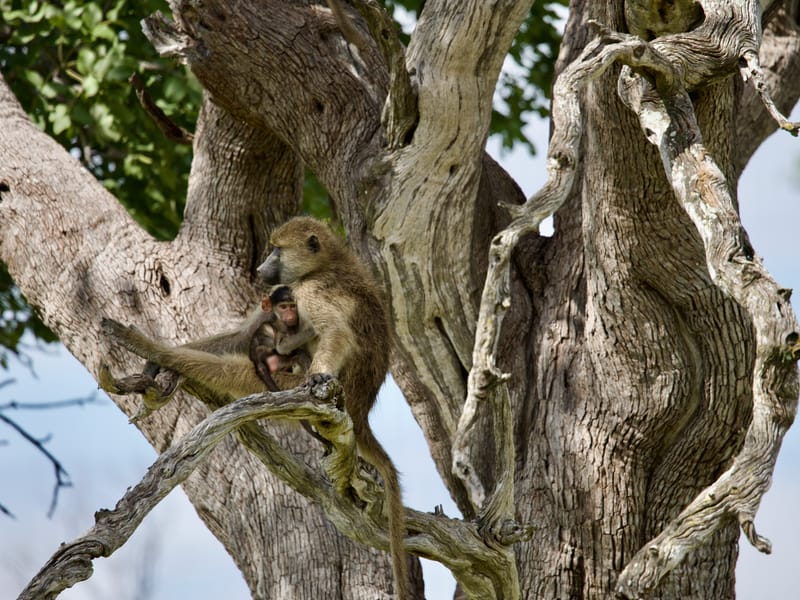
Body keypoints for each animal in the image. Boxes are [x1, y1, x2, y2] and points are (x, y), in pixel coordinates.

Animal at [257, 216, 409, 600]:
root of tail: (361, 410)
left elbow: (336, 333)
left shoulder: (311, 291)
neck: (327, 263)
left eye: (277, 249)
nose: (260, 269)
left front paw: (315, 376)